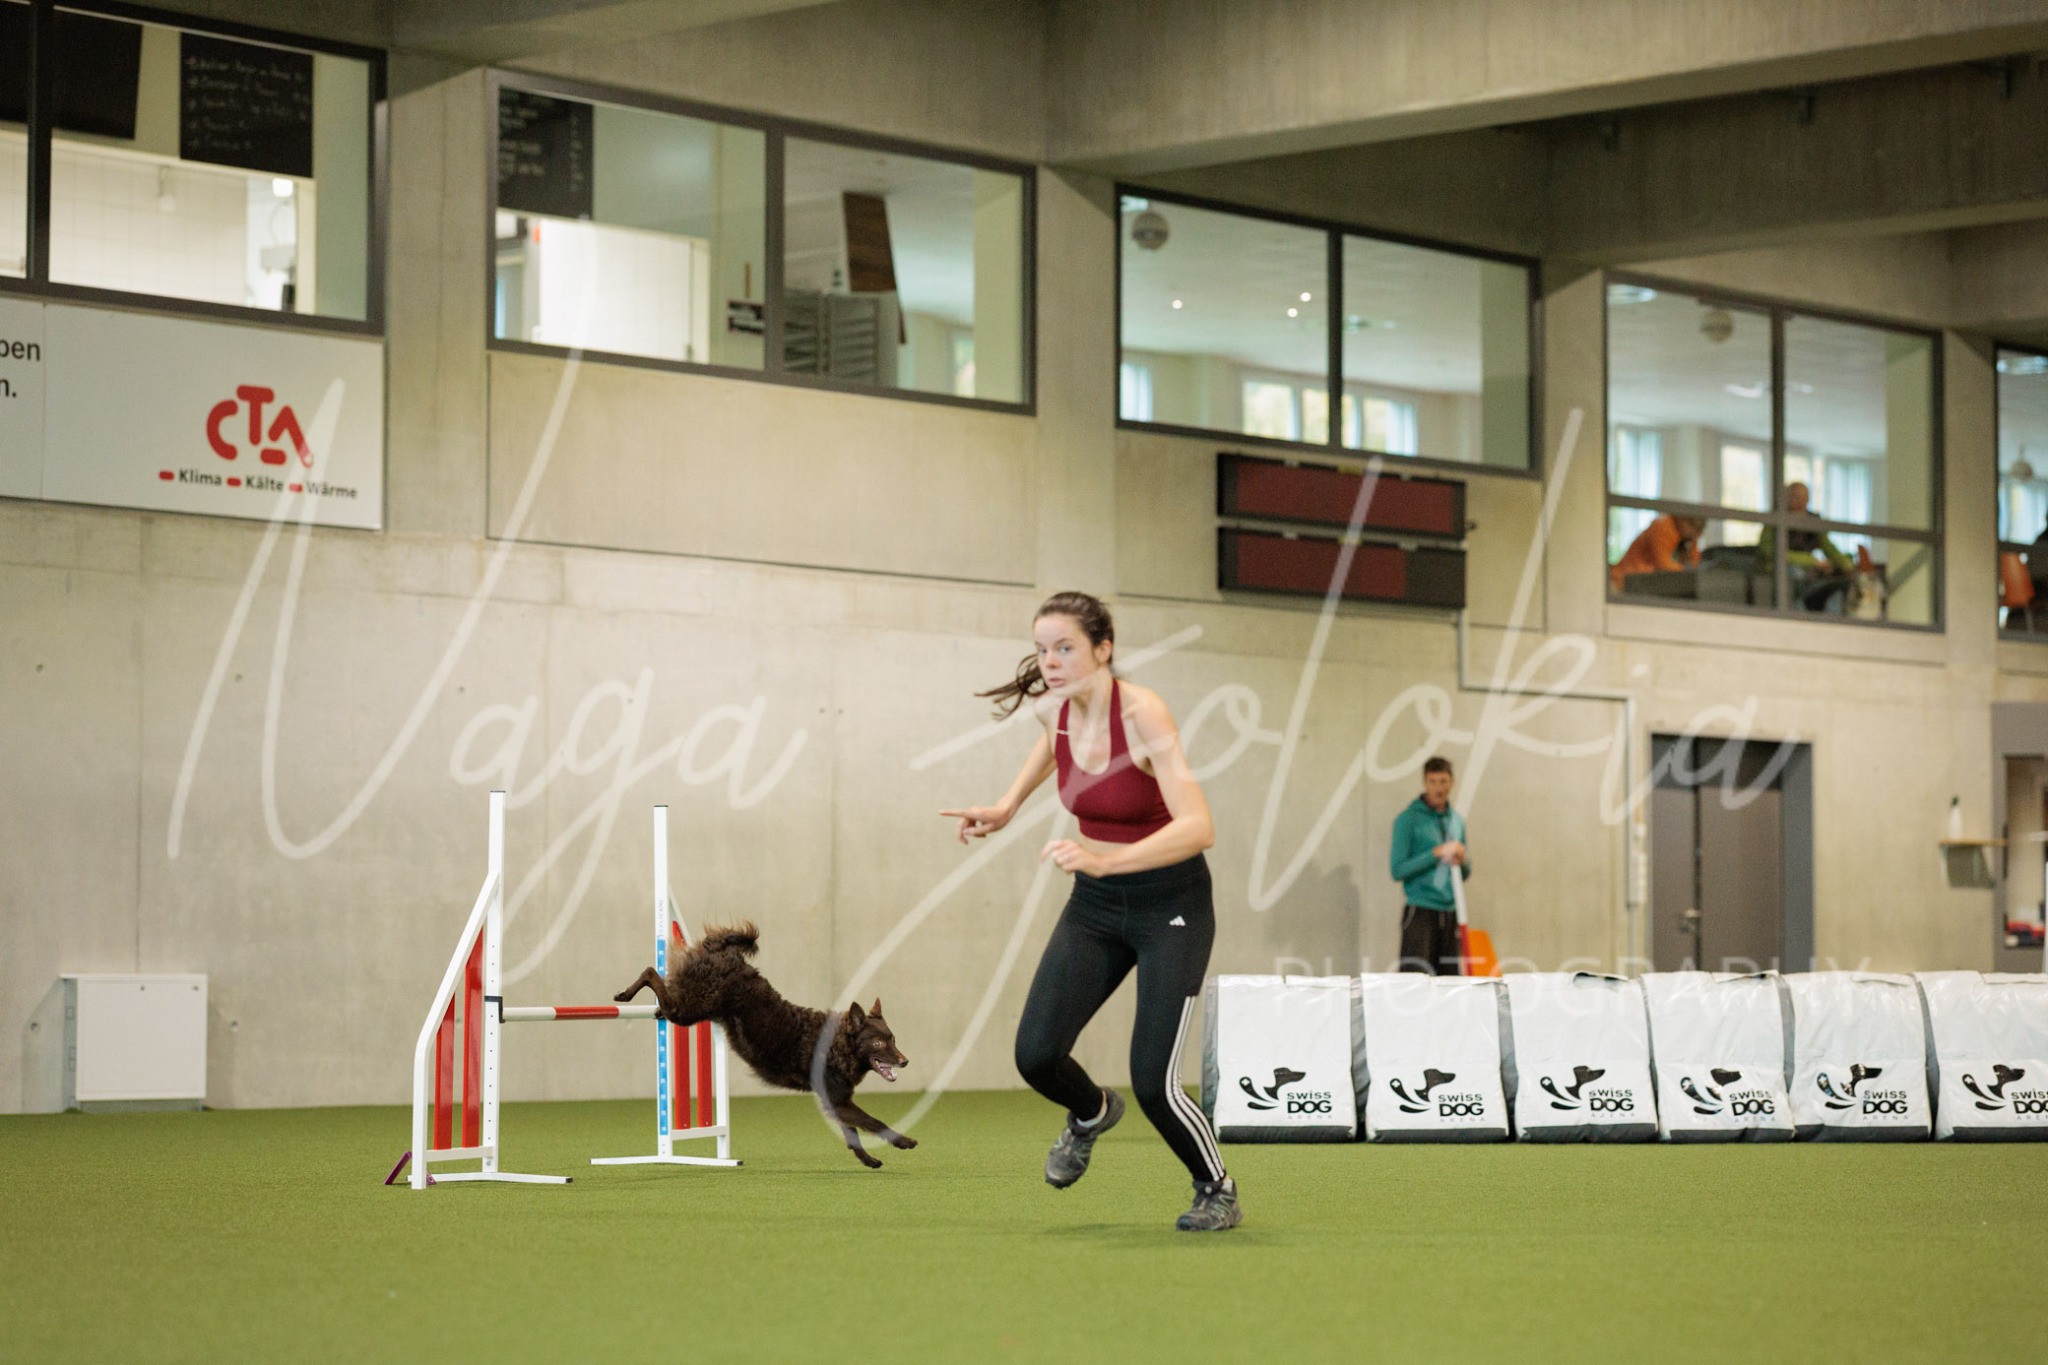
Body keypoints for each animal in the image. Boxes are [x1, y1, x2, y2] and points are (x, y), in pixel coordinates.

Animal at [614, 922, 915, 1169]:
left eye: (893, 1039)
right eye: (878, 1042)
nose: (905, 1061)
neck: (837, 1047)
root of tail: (726, 952)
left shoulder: (837, 1101)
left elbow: (852, 1133)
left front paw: (868, 1160)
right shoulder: (838, 1098)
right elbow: (874, 1122)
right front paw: (905, 1142)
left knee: (663, 991)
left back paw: (646, 1005)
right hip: (689, 1009)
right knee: (652, 973)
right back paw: (625, 995)